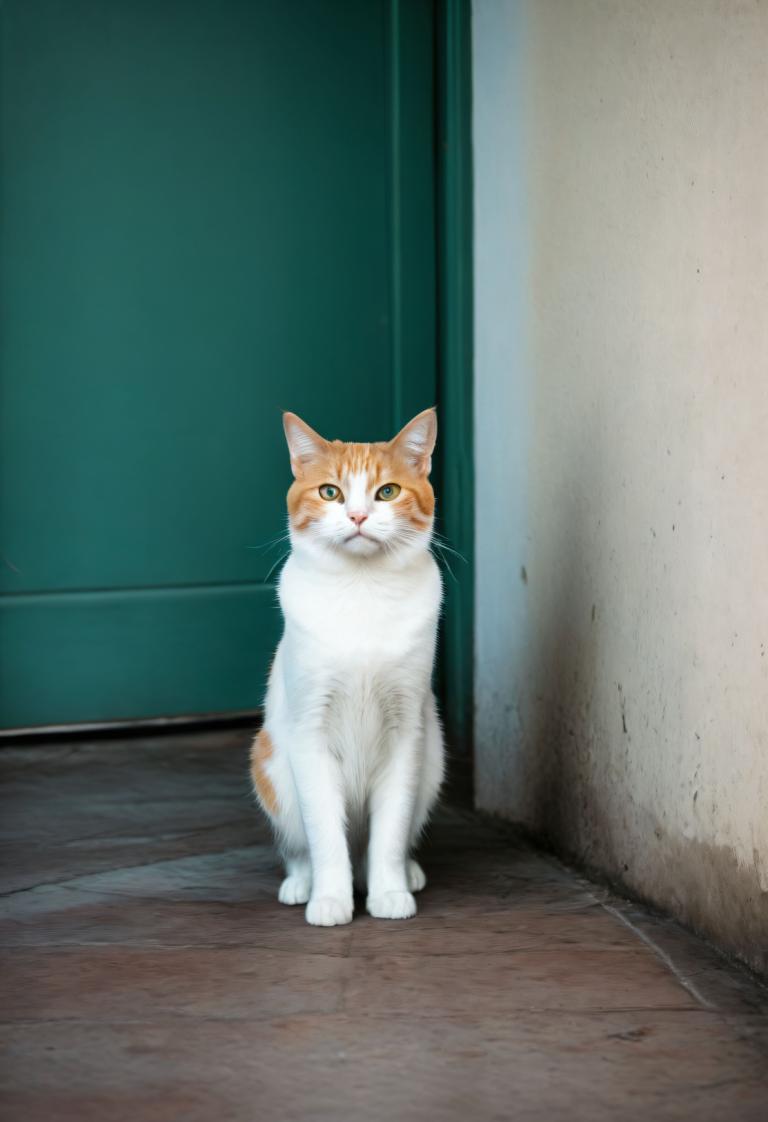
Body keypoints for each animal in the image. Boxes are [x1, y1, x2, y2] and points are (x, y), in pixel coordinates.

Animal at [251, 408, 444, 924]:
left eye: (387, 492)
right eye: (330, 492)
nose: (357, 516)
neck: (362, 589)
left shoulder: (406, 731)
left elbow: (390, 832)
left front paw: (389, 891)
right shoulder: (309, 731)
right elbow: (325, 836)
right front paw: (331, 899)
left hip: (433, 759)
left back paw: (408, 873)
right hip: (271, 766)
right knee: (300, 847)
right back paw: (302, 883)